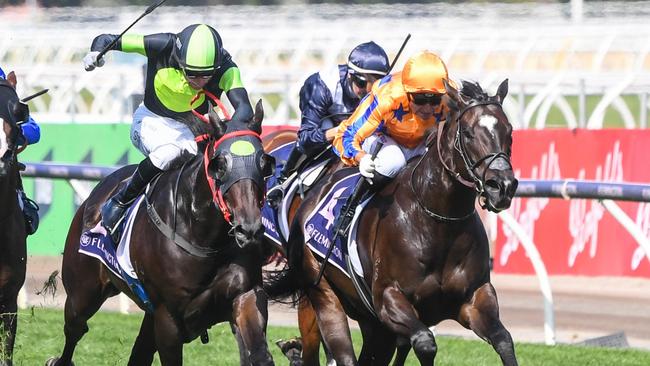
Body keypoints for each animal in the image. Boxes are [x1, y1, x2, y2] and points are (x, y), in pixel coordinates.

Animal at [46, 101, 276, 366]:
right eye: (220, 166)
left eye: (264, 164)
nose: (248, 228)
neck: (205, 238)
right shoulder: (168, 317)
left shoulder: (244, 295)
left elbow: (259, 353)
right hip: (83, 292)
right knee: (75, 329)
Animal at [264, 81, 516, 366]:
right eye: (470, 133)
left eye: (509, 132)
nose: (502, 186)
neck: (438, 223)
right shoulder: (388, 300)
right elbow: (425, 342)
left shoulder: (474, 299)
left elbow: (504, 340)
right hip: (323, 294)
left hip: (370, 322)